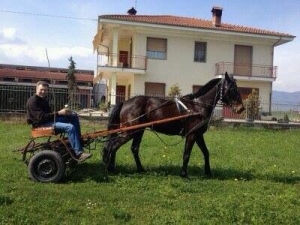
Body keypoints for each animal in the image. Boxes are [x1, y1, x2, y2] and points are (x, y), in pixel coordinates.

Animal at [102, 72, 244, 178]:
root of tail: (125, 102)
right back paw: (110, 168)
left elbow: (206, 152)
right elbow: (187, 154)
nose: (241, 108)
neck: (197, 106)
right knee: (113, 146)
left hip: (138, 131)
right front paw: (184, 174)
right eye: (232, 89)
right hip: (129, 132)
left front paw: (208, 172)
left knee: (133, 148)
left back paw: (140, 169)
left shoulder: (198, 134)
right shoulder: (192, 134)